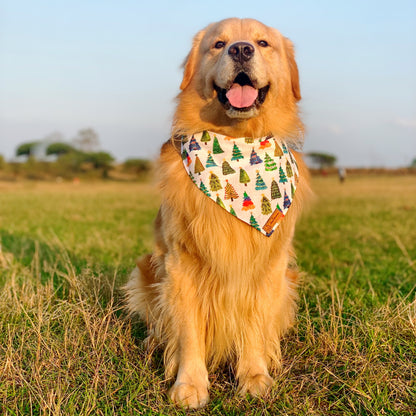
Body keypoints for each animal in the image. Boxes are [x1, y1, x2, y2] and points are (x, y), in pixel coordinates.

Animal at [125, 17, 310, 408]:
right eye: (219, 44)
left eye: (263, 42)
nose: (241, 49)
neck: (238, 138)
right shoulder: (180, 265)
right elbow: (188, 332)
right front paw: (190, 385)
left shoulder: (266, 266)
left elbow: (254, 323)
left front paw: (254, 376)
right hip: (147, 270)